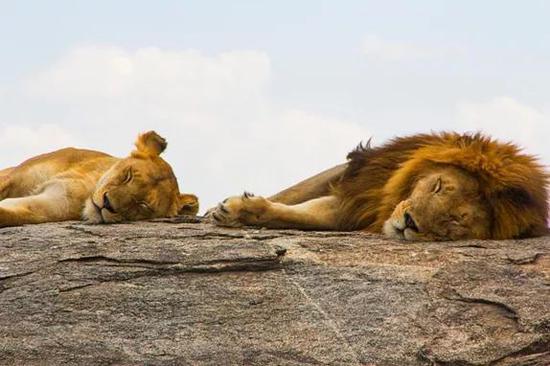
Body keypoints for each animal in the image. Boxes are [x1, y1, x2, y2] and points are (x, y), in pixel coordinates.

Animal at [0, 130, 198, 227]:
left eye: (142, 205)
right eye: (128, 175)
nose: (107, 204)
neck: (88, 185)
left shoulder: (49, 206)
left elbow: (11, 214)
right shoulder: (12, 176)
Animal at [210, 132, 548, 240]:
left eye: (456, 221)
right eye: (438, 186)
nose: (410, 222)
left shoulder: (348, 211)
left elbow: (301, 214)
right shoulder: (358, 186)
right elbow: (291, 198)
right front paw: (232, 210)